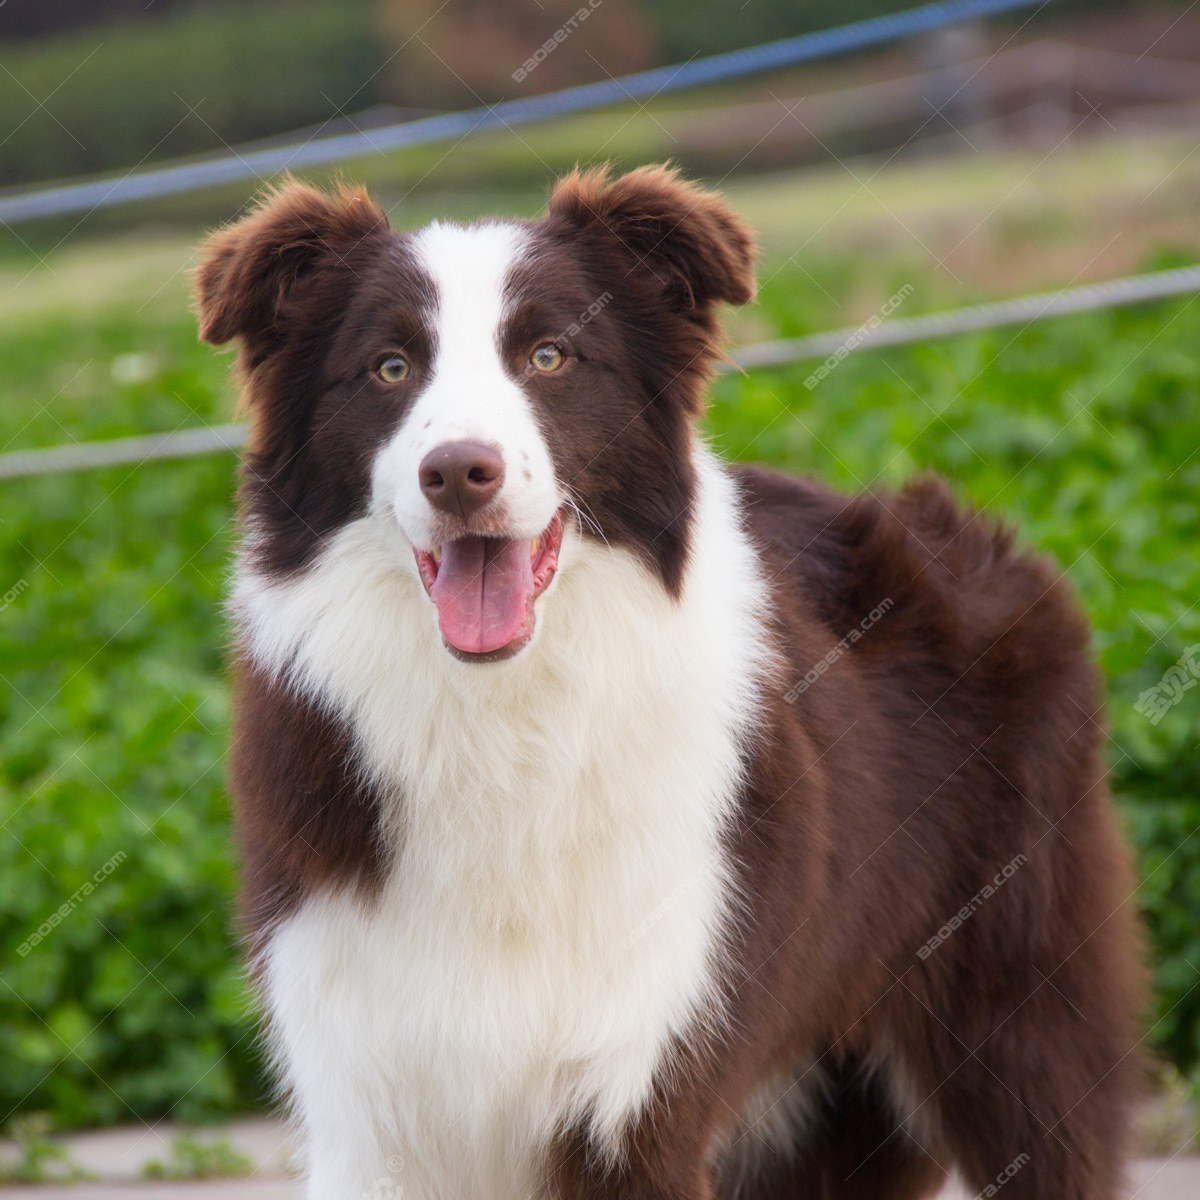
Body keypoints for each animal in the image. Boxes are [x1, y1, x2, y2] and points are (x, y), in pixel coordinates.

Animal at [194, 164, 1142, 1195]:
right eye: (389, 368)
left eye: (551, 355)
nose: (458, 473)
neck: (503, 716)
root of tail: (970, 529)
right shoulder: (366, 1093)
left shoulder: (641, 1074)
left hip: (1015, 1009)